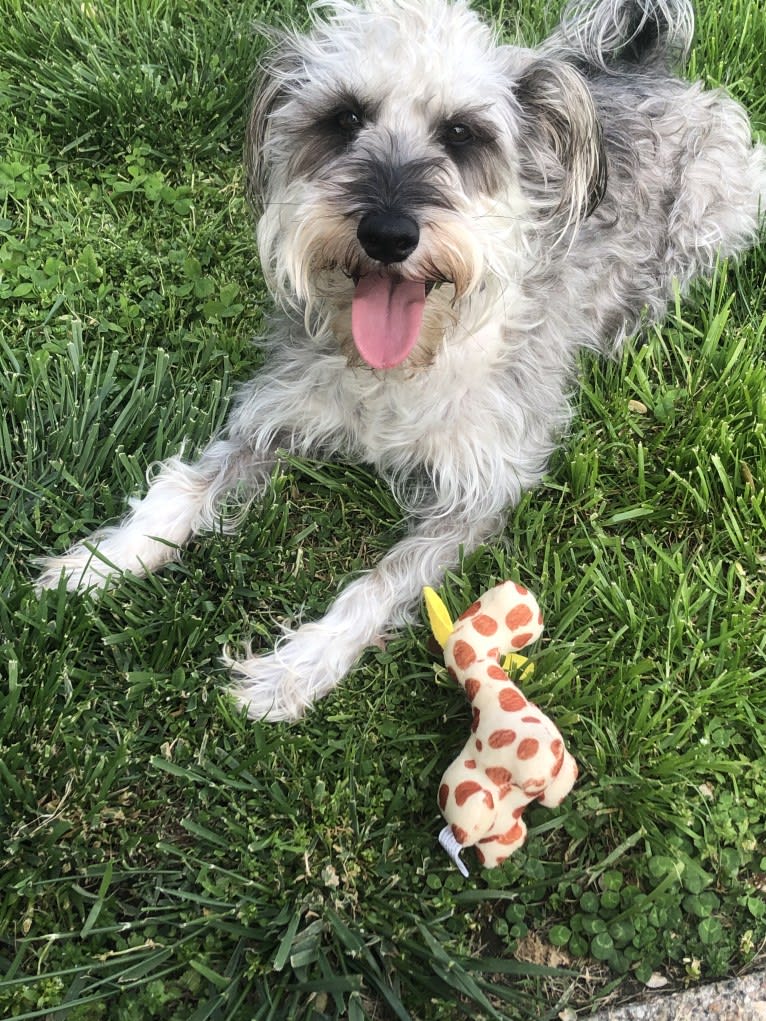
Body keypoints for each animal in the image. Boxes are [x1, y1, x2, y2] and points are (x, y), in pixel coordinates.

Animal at [37, 0, 766, 718]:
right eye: (343, 119)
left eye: (463, 134)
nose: (388, 233)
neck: (405, 366)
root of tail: (653, 72)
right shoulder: (274, 416)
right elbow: (184, 487)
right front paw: (98, 563)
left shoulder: (478, 494)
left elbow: (380, 584)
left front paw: (294, 670)